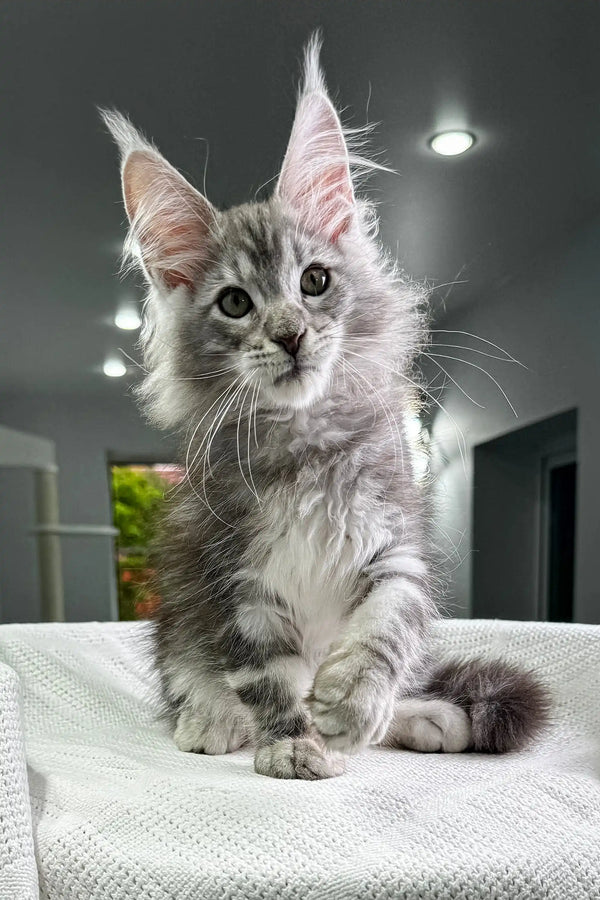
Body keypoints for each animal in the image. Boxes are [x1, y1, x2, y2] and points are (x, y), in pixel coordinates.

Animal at [102, 38, 548, 776]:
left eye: (314, 282)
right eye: (235, 303)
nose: (289, 334)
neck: (305, 441)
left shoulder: (396, 539)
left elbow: (387, 624)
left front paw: (353, 700)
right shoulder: (234, 578)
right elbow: (266, 675)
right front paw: (293, 744)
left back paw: (424, 717)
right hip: (177, 620)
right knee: (190, 674)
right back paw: (213, 718)